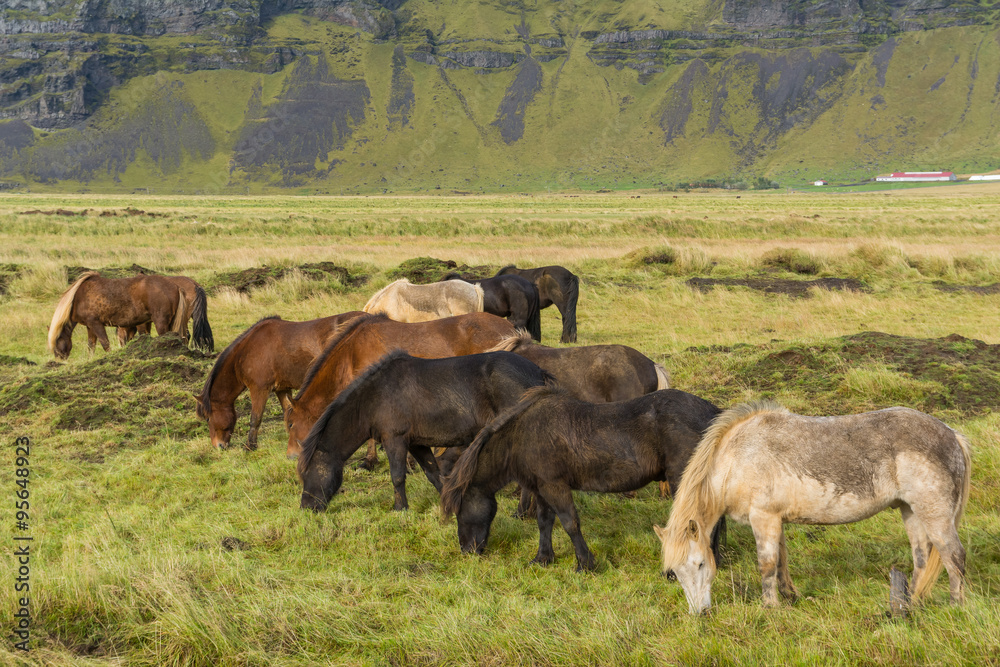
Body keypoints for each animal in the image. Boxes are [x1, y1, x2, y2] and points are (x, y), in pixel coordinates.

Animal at [48, 272, 188, 359]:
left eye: (56, 341)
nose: (59, 360)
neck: (77, 298)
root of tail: (175, 287)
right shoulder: (90, 326)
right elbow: (91, 346)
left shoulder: (96, 324)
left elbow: (105, 344)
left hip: (161, 323)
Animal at [193, 311, 364, 453]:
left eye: (207, 418)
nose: (218, 446)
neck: (247, 350)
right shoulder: (282, 389)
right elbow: (287, 413)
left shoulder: (259, 389)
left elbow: (255, 419)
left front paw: (250, 447)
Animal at [298, 350, 552, 512]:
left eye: (308, 472)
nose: (306, 508)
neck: (375, 396)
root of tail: (538, 371)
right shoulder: (417, 444)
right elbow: (434, 475)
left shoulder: (395, 440)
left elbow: (397, 476)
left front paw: (400, 509)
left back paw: (521, 512)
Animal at [440, 386, 723, 572]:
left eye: (459, 509)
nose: (467, 550)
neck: (522, 435)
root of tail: (712, 412)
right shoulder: (541, 489)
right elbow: (544, 523)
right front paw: (543, 559)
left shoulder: (555, 487)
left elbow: (570, 524)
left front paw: (585, 564)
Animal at [654, 401, 971, 615]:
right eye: (675, 573)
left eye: (700, 564)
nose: (700, 613)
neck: (739, 458)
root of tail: (952, 435)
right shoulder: (775, 519)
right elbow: (781, 560)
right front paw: (789, 596)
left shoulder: (763, 518)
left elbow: (766, 564)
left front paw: (770, 607)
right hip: (910, 511)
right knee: (922, 558)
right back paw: (908, 606)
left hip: (934, 514)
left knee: (953, 556)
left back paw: (955, 606)